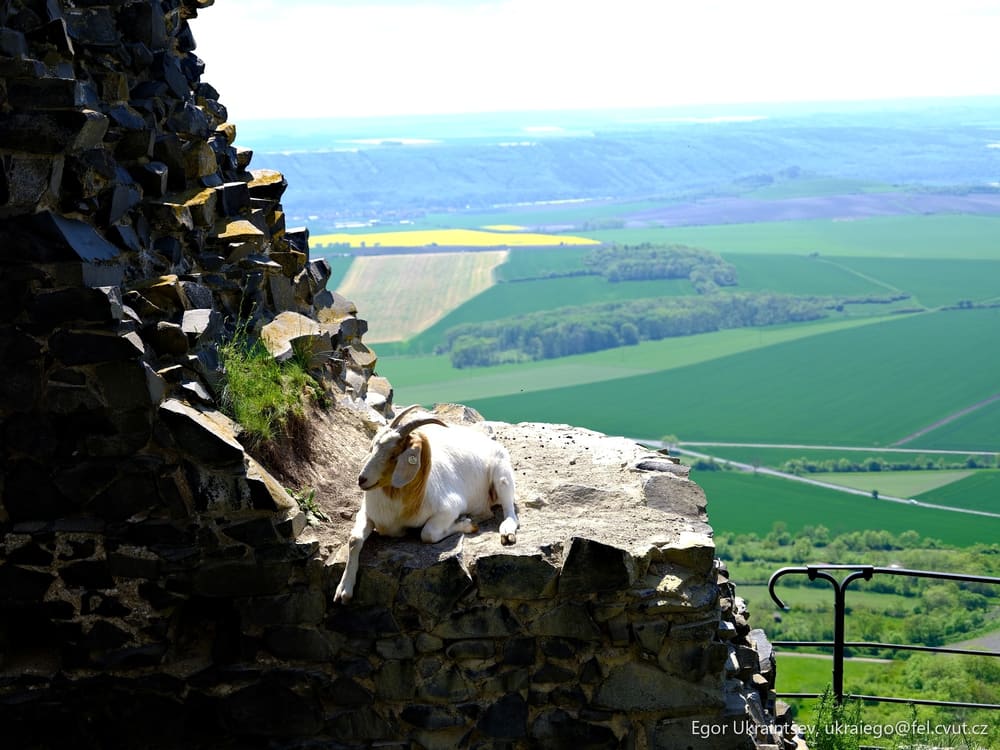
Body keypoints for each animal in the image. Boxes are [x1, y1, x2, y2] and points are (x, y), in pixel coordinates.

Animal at [334, 405, 518, 603]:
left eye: (393, 455)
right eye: (373, 446)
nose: (362, 480)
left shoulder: (450, 507)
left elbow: (427, 534)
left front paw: (467, 524)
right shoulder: (366, 512)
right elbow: (354, 539)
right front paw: (343, 591)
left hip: (502, 476)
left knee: (509, 510)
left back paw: (505, 532)